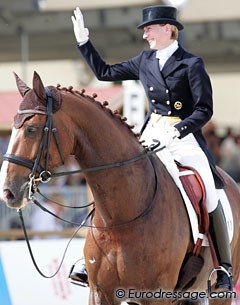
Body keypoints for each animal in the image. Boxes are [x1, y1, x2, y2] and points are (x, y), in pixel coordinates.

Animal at [0, 71, 240, 304]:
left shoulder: (157, 294)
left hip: (218, 292)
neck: (120, 217)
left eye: (31, 129)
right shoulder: (100, 292)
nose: (8, 191)